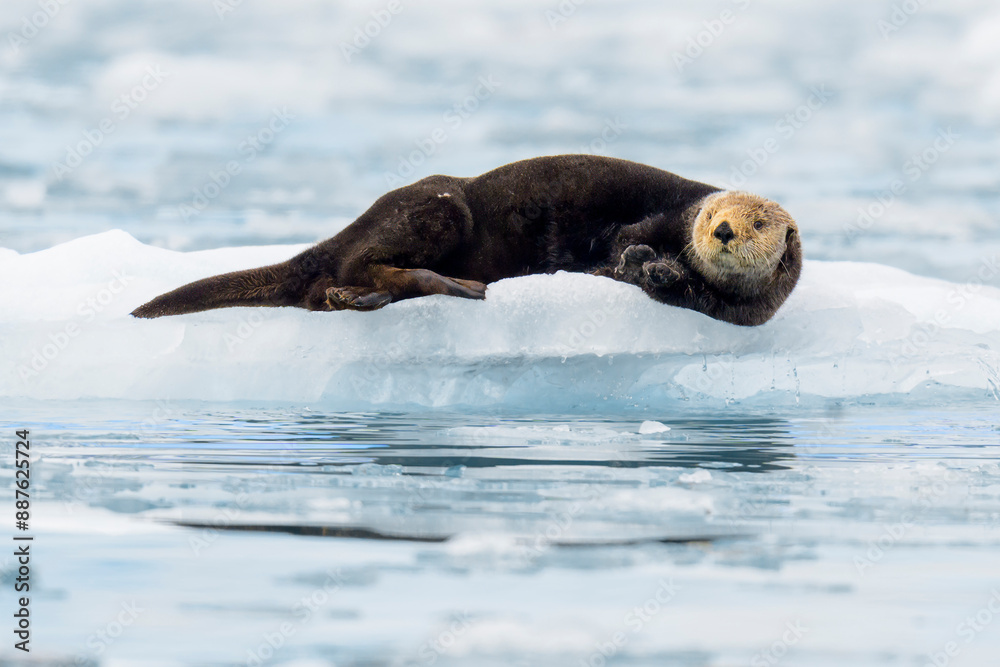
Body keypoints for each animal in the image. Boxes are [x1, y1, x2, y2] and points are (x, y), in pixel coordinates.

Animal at [131, 155, 801, 326]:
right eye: (715, 211)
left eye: (758, 223)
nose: (721, 229)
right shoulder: (661, 215)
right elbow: (626, 241)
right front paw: (637, 260)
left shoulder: (737, 311)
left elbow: (687, 292)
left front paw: (657, 272)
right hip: (438, 208)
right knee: (356, 264)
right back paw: (455, 286)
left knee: (327, 289)